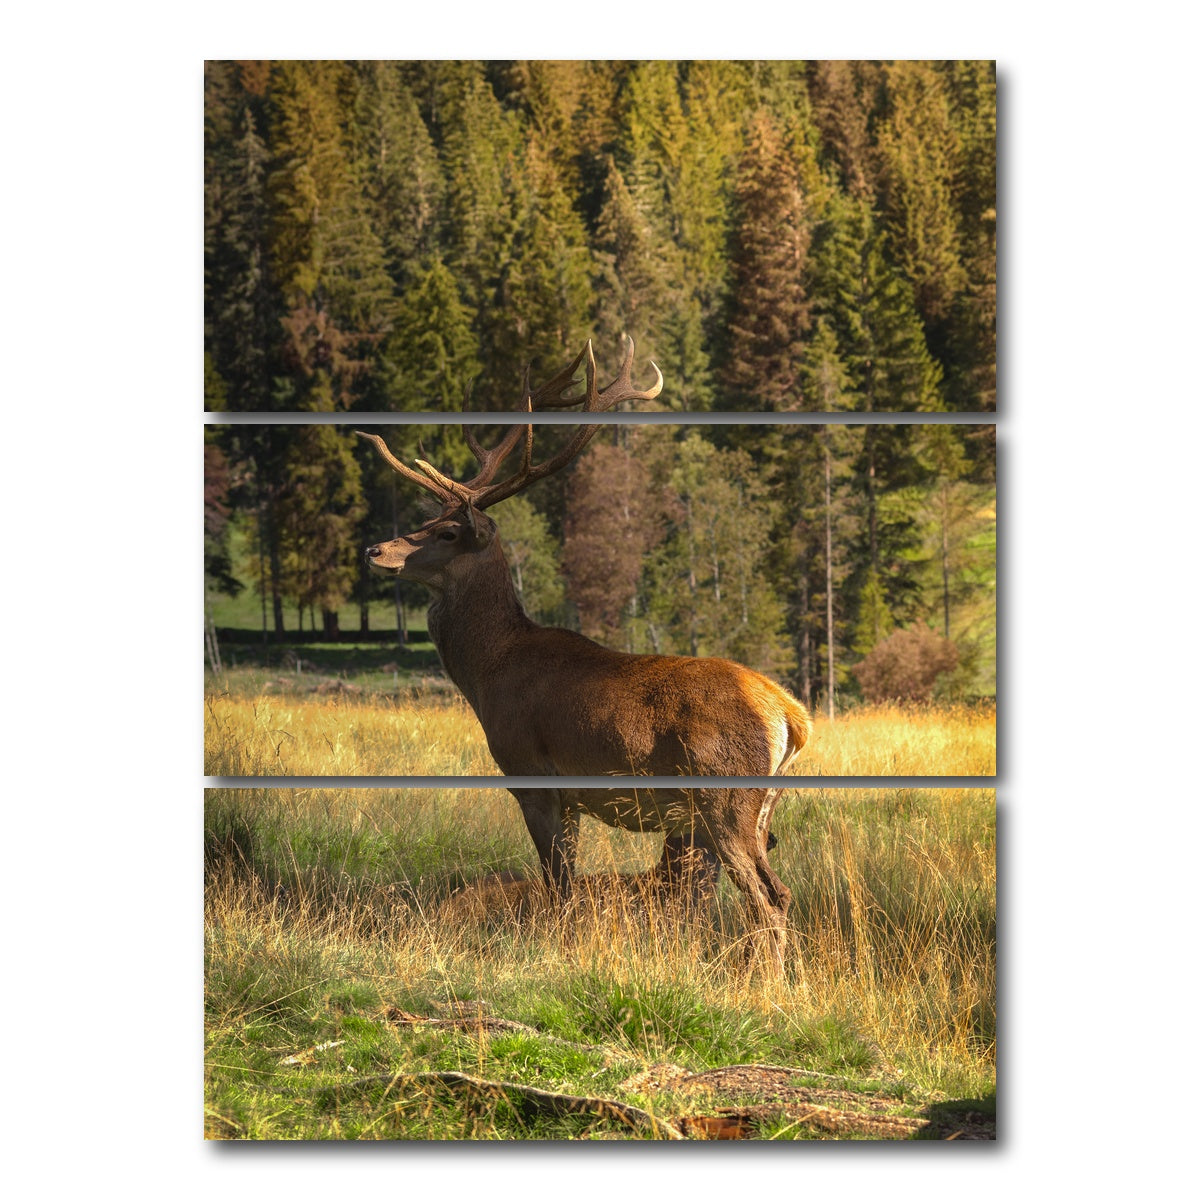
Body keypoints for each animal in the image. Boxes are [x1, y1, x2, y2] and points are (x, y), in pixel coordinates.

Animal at [358, 338, 812, 971]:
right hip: (762, 803)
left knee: (769, 898)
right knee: (774, 891)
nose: (375, 549)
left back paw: (769, 983)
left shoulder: (532, 775)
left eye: (447, 532)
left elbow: (560, 888)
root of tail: (790, 716)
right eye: (427, 519)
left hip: (723, 793)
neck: (488, 672)